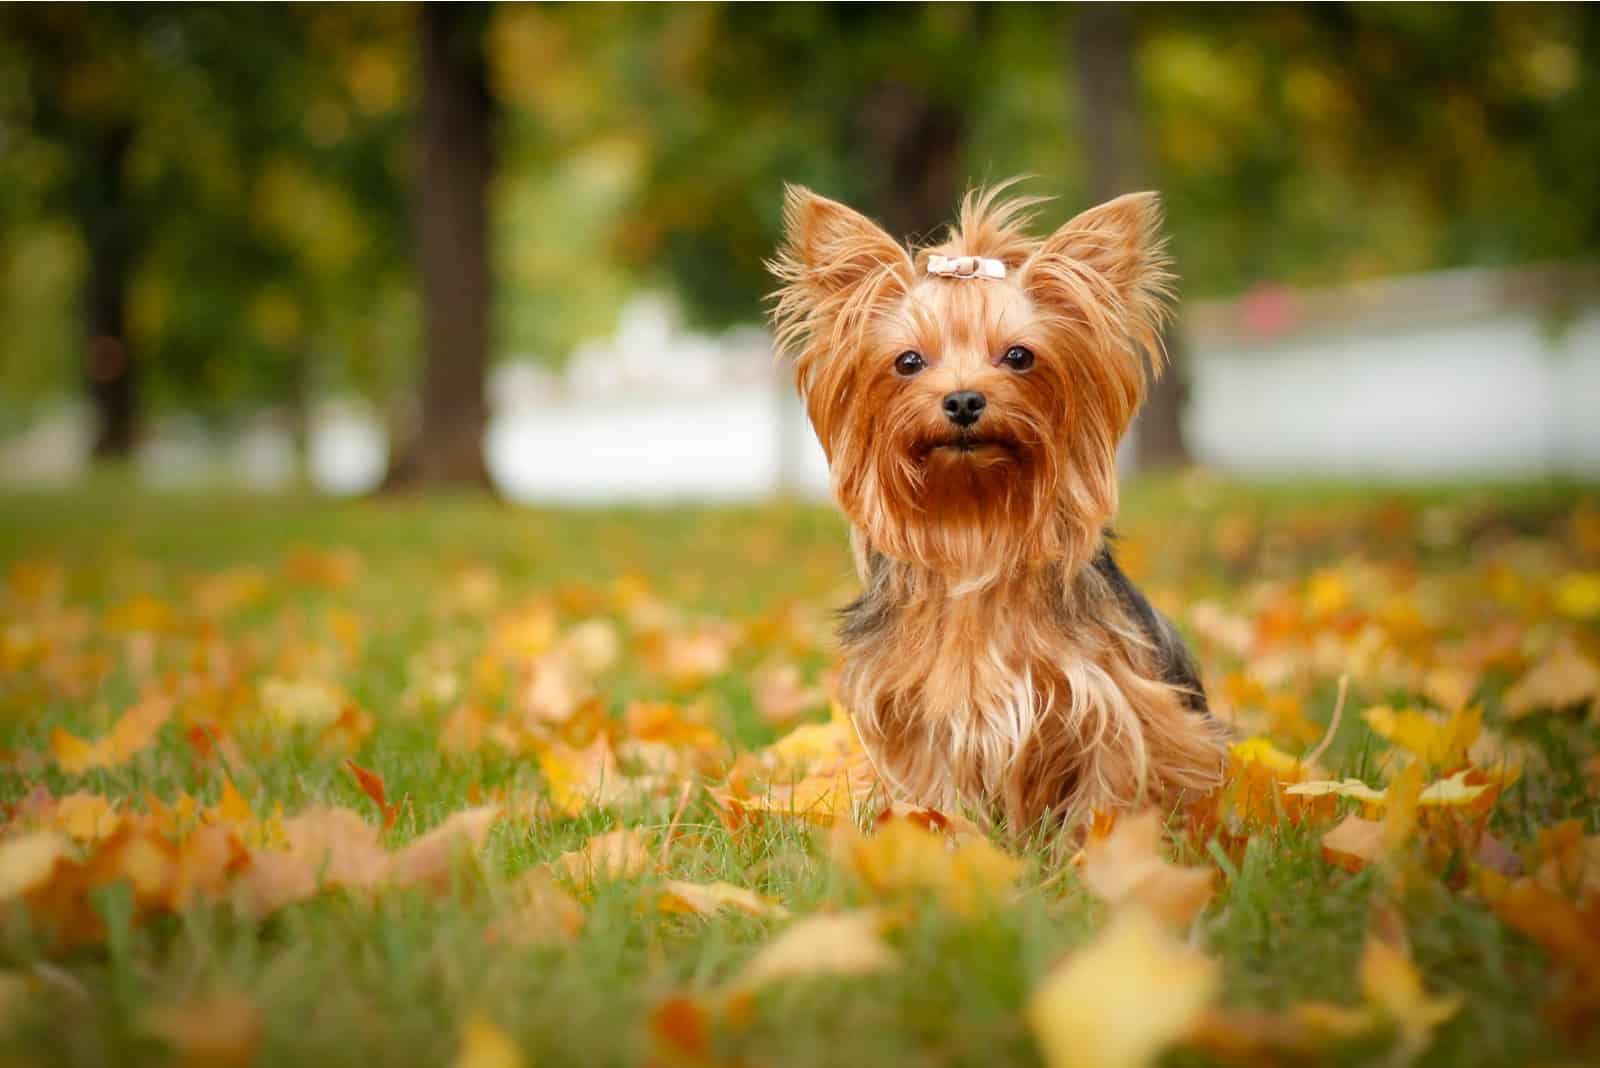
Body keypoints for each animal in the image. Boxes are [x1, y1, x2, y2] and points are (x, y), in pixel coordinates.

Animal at [764, 179, 1222, 831]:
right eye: (908, 361)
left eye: (1019, 357)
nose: (962, 400)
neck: (975, 526)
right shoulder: (916, 713)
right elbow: (934, 788)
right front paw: (946, 834)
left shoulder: (1114, 701)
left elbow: (1110, 782)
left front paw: (1097, 847)